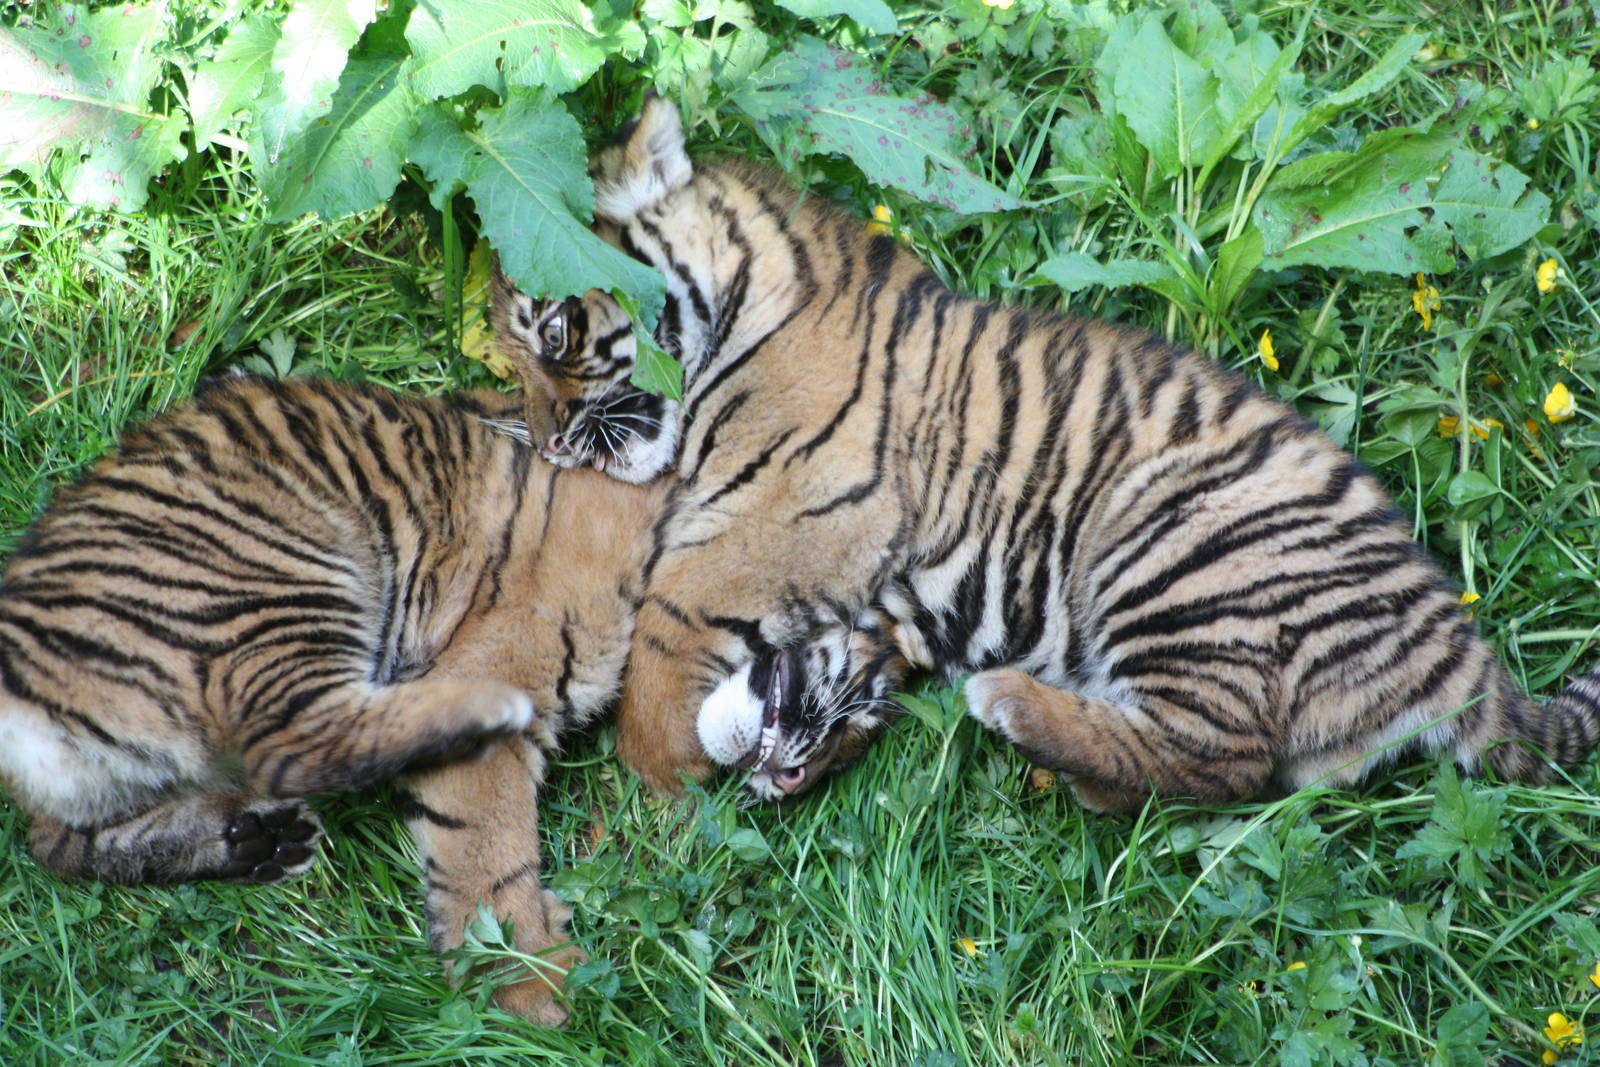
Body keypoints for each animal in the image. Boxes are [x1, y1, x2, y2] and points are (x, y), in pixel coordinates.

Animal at [0, 354, 670, 1025]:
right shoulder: (521, 628)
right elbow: (487, 852)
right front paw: (533, 983)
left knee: (54, 841)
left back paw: (256, 841)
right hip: (283, 574)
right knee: (295, 743)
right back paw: (480, 710)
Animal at [507, 94, 1600, 812]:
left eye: (552, 330)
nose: (551, 438)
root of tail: (1451, 637)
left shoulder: (797, 508)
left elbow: (668, 618)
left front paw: (658, 771)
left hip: (1172, 546)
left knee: (1226, 756)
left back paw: (1011, 704)